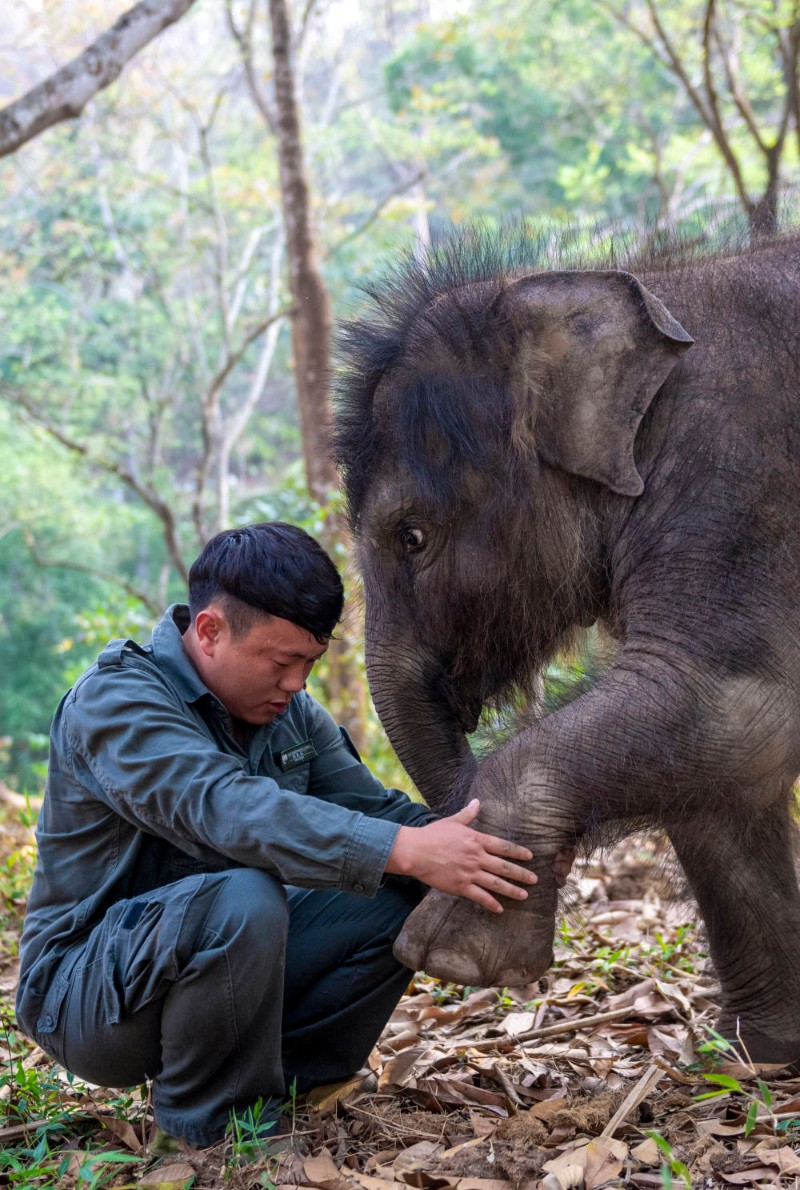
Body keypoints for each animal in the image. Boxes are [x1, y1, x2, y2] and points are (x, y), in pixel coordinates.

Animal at [333, 227, 800, 1066]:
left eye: (411, 536)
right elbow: (723, 783)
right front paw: (767, 1052)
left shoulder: (738, 478)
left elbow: (742, 711)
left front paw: (456, 955)